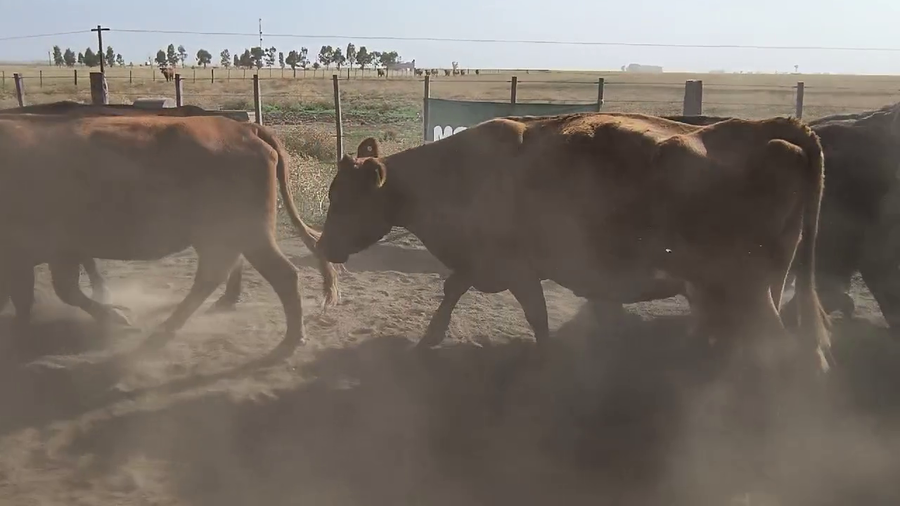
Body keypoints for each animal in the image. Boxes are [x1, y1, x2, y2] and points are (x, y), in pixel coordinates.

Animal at [0, 113, 339, 355]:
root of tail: (242, 128)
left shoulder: (42, 252)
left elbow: (46, 294)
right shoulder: (60, 251)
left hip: (246, 232)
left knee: (279, 275)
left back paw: (290, 339)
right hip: (225, 234)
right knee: (219, 273)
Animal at [317, 112, 833, 375]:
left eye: (342, 199)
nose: (322, 248)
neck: (458, 174)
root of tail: (765, 128)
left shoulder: (517, 266)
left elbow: (536, 314)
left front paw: (544, 359)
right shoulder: (484, 261)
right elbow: (452, 289)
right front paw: (430, 338)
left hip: (745, 287)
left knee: (777, 345)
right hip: (762, 284)